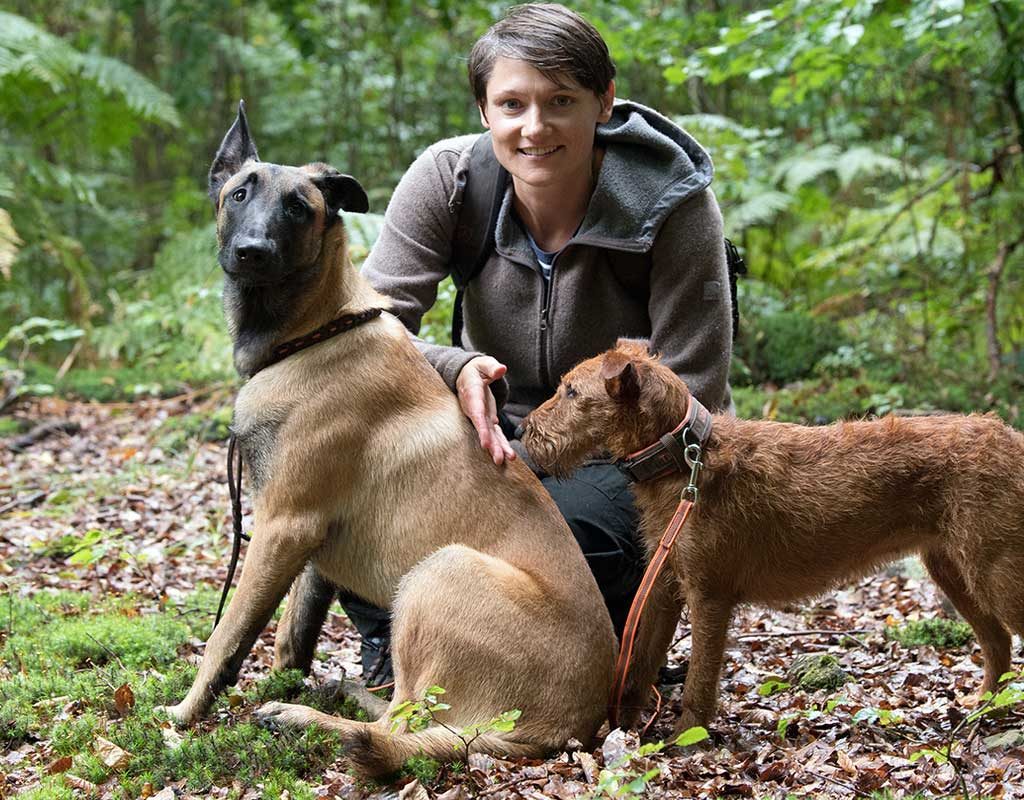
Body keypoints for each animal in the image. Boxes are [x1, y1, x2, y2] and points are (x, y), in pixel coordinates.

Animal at [157, 104, 606, 774]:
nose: (252, 251)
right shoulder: (305, 540)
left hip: (436, 574)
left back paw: (306, 719)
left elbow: (226, 635)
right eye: (239, 193)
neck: (315, 332)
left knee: (401, 730)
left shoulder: (282, 524)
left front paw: (185, 714)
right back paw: (336, 693)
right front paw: (283, 678)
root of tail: (572, 728)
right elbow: (291, 633)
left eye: (299, 207)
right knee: (399, 714)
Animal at [524, 338, 1024, 729]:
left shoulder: (709, 594)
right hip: (954, 571)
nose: (525, 429)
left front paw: (687, 739)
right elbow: (639, 664)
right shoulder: (665, 586)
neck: (684, 459)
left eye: (570, 391)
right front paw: (626, 731)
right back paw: (984, 709)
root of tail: (1014, 440)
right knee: (997, 644)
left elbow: (700, 678)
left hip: (996, 574)